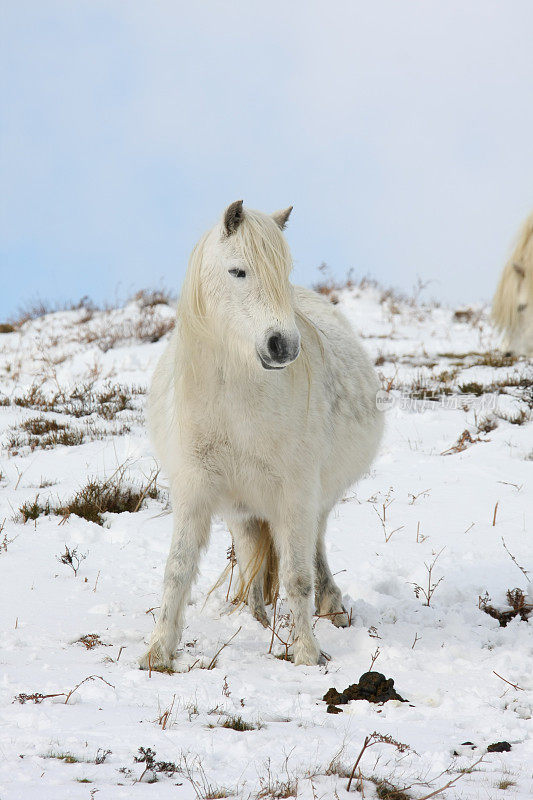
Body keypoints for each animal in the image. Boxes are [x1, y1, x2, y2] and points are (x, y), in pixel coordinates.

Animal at [140, 200, 382, 668]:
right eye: (238, 271)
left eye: (284, 270)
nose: (282, 345)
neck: (235, 405)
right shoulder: (194, 491)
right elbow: (177, 569)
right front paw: (158, 652)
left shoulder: (296, 494)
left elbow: (297, 576)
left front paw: (307, 653)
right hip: (243, 510)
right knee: (252, 558)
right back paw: (253, 616)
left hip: (312, 502)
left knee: (314, 548)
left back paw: (332, 605)